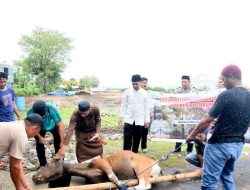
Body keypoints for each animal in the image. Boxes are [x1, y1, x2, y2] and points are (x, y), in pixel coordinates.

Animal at [32, 151, 161, 189]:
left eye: (47, 164)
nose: (34, 177)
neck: (87, 168)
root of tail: (156, 164)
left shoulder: (104, 164)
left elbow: (113, 177)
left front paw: (121, 184)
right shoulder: (98, 181)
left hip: (140, 168)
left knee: (145, 185)